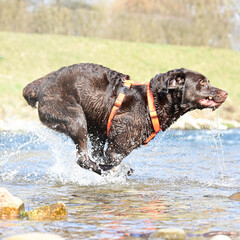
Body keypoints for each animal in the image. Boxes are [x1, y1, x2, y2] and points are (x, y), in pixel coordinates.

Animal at [23, 64, 228, 174]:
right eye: (202, 82)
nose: (225, 92)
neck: (152, 103)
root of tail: (43, 84)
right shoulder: (117, 146)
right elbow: (113, 161)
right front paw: (116, 171)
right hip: (75, 118)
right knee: (83, 159)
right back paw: (103, 170)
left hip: (95, 130)